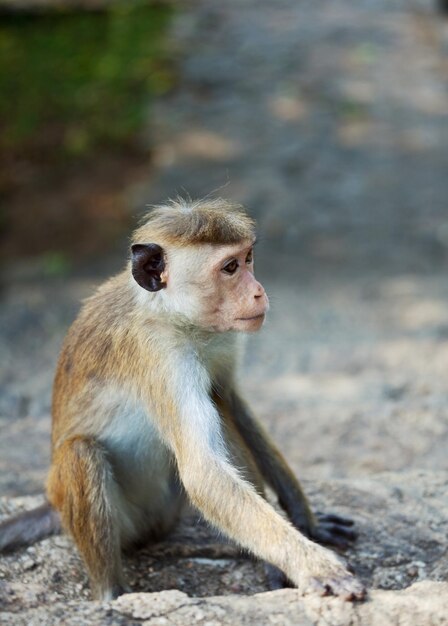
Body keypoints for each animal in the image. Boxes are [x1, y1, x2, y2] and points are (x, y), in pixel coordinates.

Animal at [0, 199, 364, 600]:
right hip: (122, 518)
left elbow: (232, 401)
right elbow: (203, 472)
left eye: (248, 258)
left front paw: (306, 523)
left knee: (218, 403)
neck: (171, 314)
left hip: (164, 510)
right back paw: (112, 595)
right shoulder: (160, 358)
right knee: (81, 452)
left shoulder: (222, 339)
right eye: (230, 268)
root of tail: (52, 504)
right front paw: (313, 565)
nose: (258, 291)